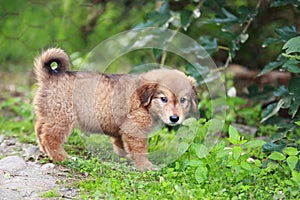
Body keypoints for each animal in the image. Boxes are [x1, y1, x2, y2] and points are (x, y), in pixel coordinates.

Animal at [34, 47, 198, 170]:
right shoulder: (135, 130)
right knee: (50, 138)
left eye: (183, 100)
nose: (174, 118)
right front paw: (146, 166)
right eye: (164, 99)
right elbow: (140, 151)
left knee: (39, 129)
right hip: (62, 118)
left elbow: (122, 147)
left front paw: (125, 160)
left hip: (50, 114)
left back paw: (46, 152)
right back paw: (63, 158)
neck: (145, 103)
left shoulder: (122, 131)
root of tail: (50, 75)